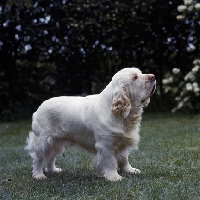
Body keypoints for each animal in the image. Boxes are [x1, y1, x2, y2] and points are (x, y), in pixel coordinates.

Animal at [25, 67, 156, 181]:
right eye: (134, 77)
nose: (153, 76)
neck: (122, 115)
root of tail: (38, 109)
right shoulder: (106, 145)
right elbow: (111, 162)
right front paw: (114, 177)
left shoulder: (121, 140)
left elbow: (124, 158)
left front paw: (129, 170)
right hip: (44, 140)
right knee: (38, 158)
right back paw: (38, 175)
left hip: (57, 141)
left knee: (51, 157)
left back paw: (53, 170)